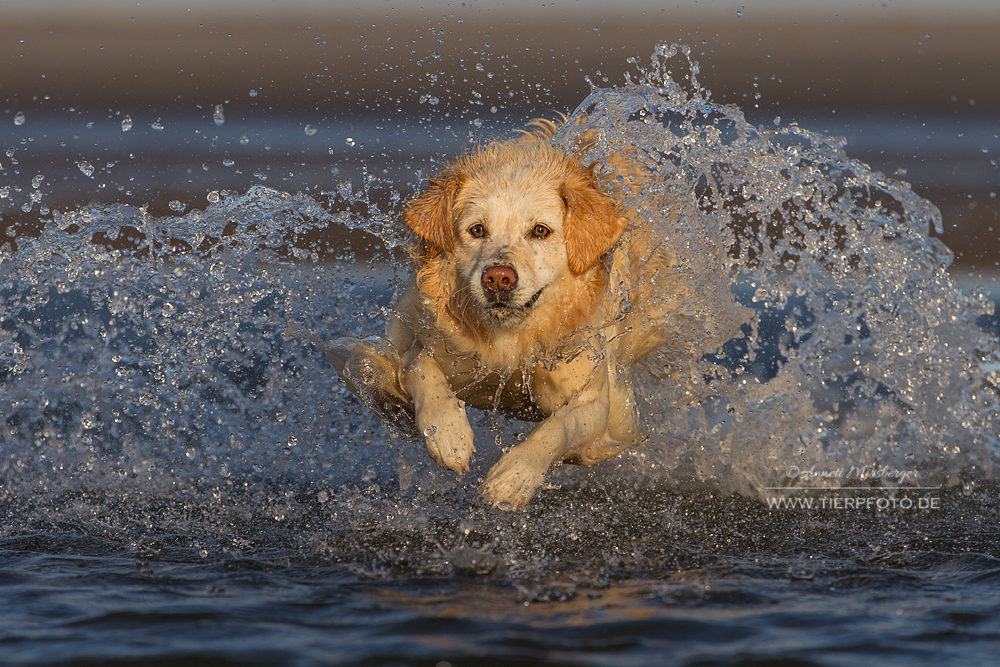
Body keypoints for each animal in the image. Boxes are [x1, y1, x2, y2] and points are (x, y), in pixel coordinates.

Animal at [326, 120, 736, 508]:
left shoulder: (596, 400)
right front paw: (447, 433)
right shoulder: (417, 335)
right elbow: (417, 364)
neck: (510, 342)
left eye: (540, 231)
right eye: (476, 230)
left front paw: (514, 476)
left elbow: (560, 427)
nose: (498, 277)